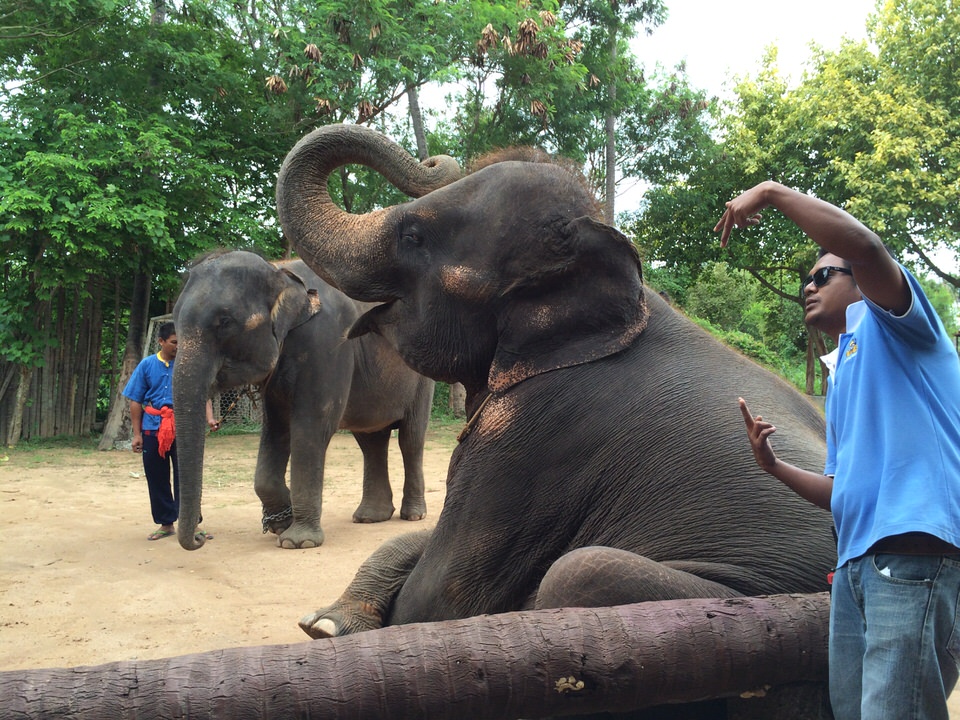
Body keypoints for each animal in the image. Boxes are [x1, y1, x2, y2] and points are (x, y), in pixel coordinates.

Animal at [172, 250, 436, 548]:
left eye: (225, 322)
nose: (200, 536)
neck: (279, 272)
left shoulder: (327, 341)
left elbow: (312, 426)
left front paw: (297, 542)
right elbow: (276, 428)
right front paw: (280, 524)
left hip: (422, 377)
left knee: (410, 439)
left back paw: (412, 515)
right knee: (371, 442)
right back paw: (370, 517)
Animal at [276, 125, 832, 692]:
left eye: (414, 238)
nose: (435, 162)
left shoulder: (533, 437)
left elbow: (434, 599)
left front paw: (331, 629)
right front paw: (325, 623)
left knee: (578, 573)